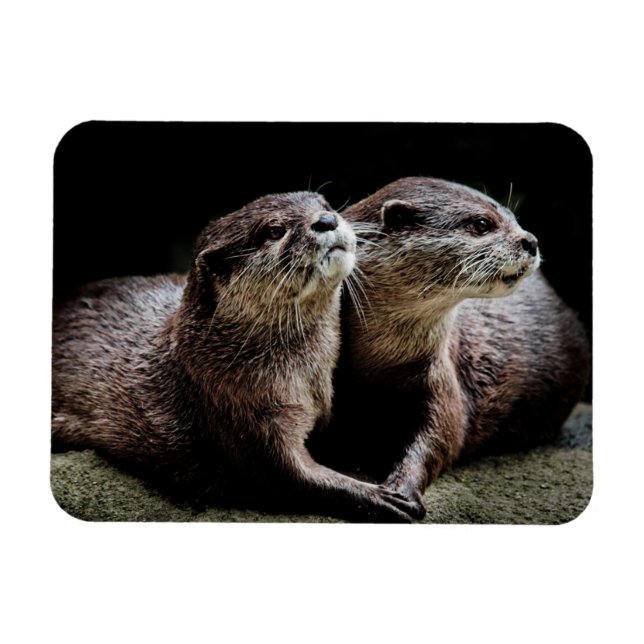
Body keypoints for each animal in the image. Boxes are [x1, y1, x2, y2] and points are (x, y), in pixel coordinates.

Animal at [52, 191, 422, 522]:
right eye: (274, 230)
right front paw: (379, 496)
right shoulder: (239, 411)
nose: (327, 220)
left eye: (325, 204)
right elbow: (286, 477)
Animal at [308, 177, 590, 514]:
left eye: (514, 217)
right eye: (482, 224)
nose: (531, 241)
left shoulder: (441, 376)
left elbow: (441, 438)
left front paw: (402, 488)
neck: (377, 365)